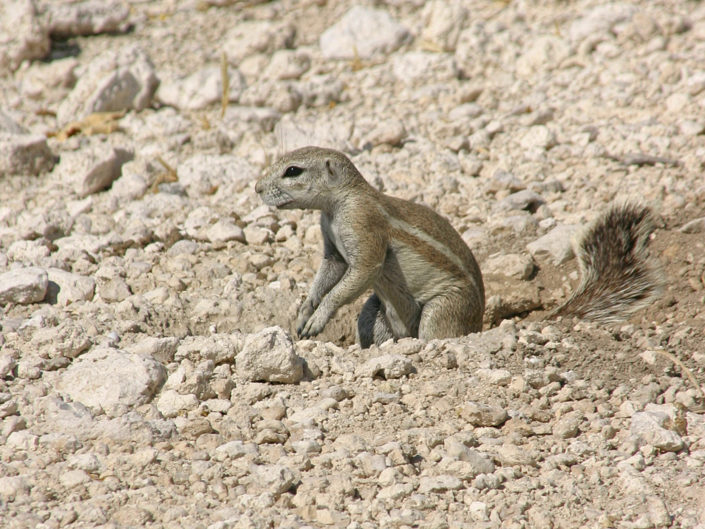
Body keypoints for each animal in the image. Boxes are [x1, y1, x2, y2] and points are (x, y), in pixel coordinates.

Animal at [255, 146, 662, 347]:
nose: (257, 188)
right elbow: (329, 273)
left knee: (439, 334)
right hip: (375, 313)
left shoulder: (364, 228)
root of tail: (479, 325)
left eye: (292, 171)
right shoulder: (332, 246)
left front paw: (319, 317)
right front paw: (305, 309)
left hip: (443, 309)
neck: (338, 204)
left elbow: (357, 275)